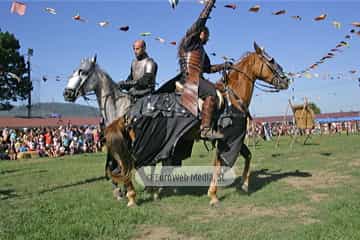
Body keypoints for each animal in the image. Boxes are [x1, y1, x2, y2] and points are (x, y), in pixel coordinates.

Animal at [104, 41, 290, 206]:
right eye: (270, 61)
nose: (286, 80)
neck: (233, 97)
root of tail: (129, 113)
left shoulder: (232, 139)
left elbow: (247, 156)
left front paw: (244, 185)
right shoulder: (229, 139)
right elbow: (219, 164)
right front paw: (214, 195)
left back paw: (147, 191)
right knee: (128, 166)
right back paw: (133, 196)